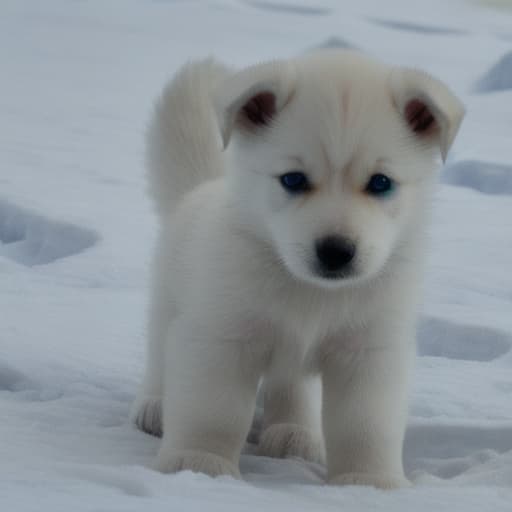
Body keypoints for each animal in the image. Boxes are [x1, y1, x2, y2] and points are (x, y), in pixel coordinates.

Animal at [131, 51, 464, 488]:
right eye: (293, 179)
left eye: (380, 183)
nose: (336, 251)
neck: (313, 293)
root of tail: (199, 188)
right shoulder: (219, 336)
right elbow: (214, 409)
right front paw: (199, 463)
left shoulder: (370, 350)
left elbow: (366, 423)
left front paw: (367, 480)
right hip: (168, 302)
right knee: (159, 352)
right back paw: (154, 406)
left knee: (290, 389)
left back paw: (294, 433)